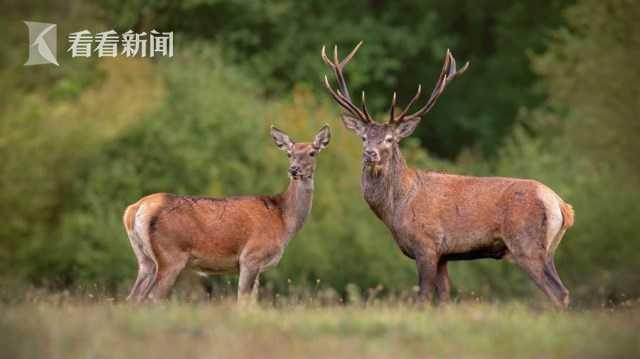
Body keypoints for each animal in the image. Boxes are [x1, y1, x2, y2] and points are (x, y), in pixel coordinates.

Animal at [122, 125, 330, 302]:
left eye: (312, 152)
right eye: (289, 154)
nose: (294, 169)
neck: (284, 221)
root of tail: (136, 209)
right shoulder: (251, 257)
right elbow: (242, 301)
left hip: (145, 260)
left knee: (133, 298)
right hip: (170, 256)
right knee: (152, 298)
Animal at [324, 40, 576, 308]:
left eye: (390, 139)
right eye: (363, 137)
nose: (370, 153)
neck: (397, 208)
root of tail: (561, 205)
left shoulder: (426, 245)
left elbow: (423, 297)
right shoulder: (444, 255)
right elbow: (444, 299)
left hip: (526, 244)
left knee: (558, 292)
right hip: (549, 250)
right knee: (563, 290)